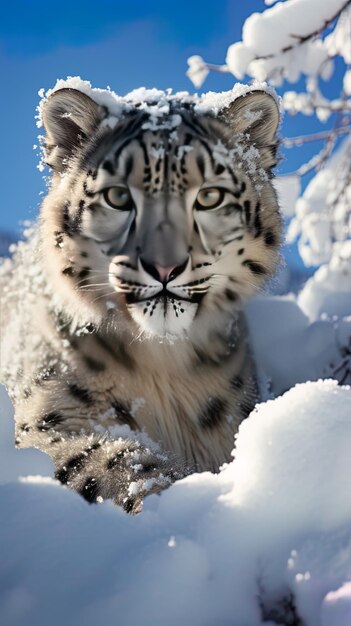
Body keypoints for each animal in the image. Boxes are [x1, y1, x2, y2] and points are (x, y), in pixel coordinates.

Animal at [0, 79, 280, 512]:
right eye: (117, 196)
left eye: (210, 197)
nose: (164, 267)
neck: (162, 366)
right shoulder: (50, 419)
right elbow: (108, 461)